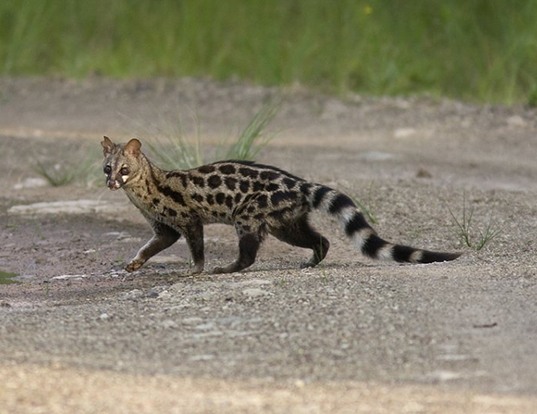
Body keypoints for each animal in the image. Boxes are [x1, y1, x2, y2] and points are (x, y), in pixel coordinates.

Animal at [101, 136, 460, 276]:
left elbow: (196, 246)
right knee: (321, 239)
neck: (147, 188)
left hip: (248, 214)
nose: (111, 183)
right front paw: (136, 262)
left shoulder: (188, 219)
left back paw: (229, 267)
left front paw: (197, 268)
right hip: (283, 222)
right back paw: (313, 259)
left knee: (248, 254)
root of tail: (299, 183)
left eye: (124, 169)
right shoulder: (163, 228)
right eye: (107, 168)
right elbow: (153, 244)